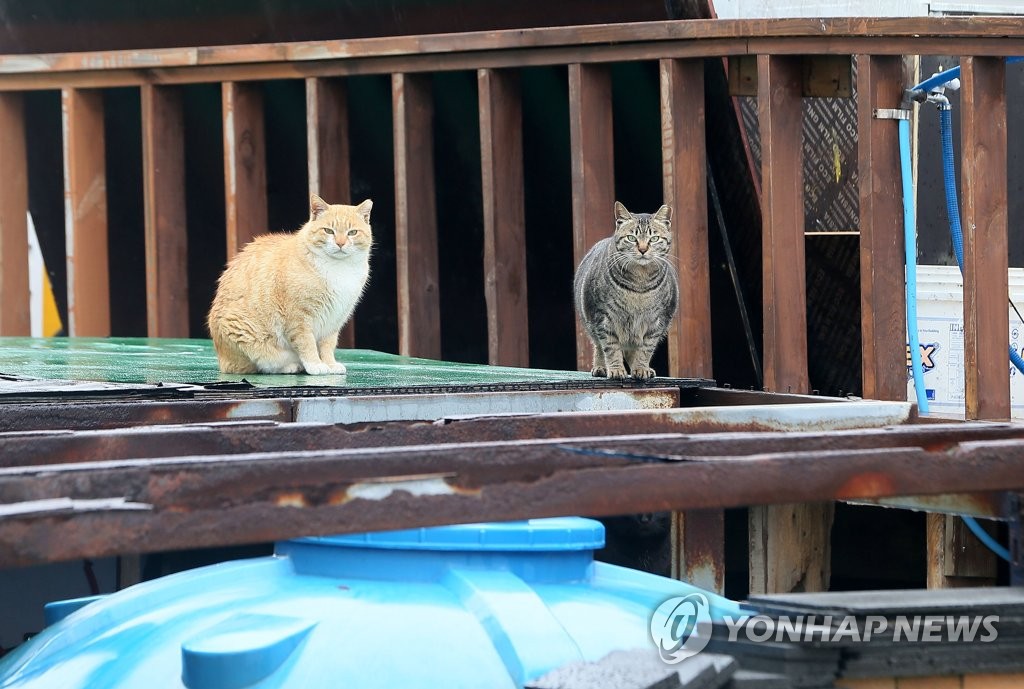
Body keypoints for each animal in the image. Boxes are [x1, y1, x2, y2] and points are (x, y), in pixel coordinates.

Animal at [206, 193, 372, 372]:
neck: (339, 268)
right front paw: (316, 365)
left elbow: (327, 346)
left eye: (352, 232)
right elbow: (307, 344)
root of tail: (222, 361)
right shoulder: (299, 319)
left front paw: (330, 364)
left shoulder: (334, 320)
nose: (340, 243)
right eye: (328, 231)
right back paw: (291, 366)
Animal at [577, 201, 679, 378]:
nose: (643, 249)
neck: (640, 282)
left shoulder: (657, 321)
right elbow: (610, 347)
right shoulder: (603, 318)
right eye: (632, 238)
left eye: (654, 238)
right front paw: (616, 369)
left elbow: (645, 349)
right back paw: (600, 367)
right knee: (599, 346)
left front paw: (641, 368)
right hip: (589, 321)